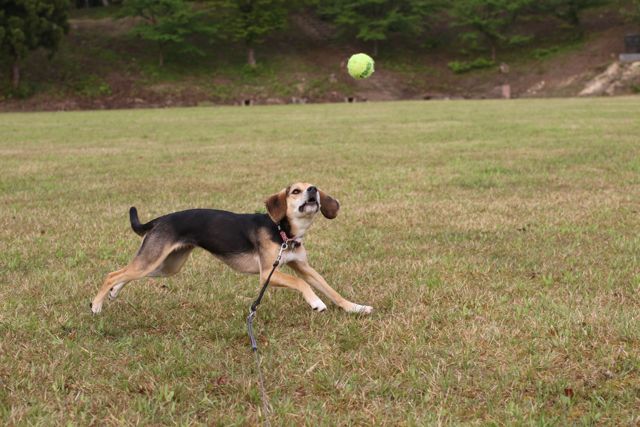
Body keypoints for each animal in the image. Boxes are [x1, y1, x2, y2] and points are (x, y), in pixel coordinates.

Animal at [87, 182, 372, 316]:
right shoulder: (268, 273)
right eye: (295, 191)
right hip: (154, 259)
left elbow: (331, 290)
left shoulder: (302, 266)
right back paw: (97, 306)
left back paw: (113, 293)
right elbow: (302, 285)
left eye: (313, 186)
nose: (312, 190)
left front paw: (355, 308)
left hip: (166, 265)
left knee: (124, 275)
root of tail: (159, 220)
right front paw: (316, 302)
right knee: (112, 274)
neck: (283, 231)